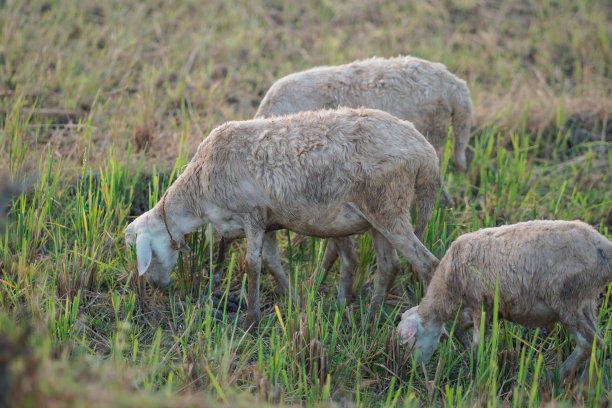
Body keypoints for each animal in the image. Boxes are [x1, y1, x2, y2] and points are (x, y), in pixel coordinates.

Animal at [124, 107, 442, 326]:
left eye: (144, 253)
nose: (157, 287)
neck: (199, 189)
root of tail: (425, 152)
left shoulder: (251, 213)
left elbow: (252, 266)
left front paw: (250, 320)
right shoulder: (267, 222)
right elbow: (272, 263)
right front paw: (295, 301)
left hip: (388, 206)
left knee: (428, 265)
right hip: (378, 216)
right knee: (390, 266)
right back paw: (371, 319)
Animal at [396, 220, 612, 380]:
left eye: (410, 342)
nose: (413, 370)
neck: (447, 285)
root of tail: (604, 247)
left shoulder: (479, 304)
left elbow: (477, 343)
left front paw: (476, 374)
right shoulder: (484, 309)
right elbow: (459, 330)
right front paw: (472, 359)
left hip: (568, 299)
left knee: (588, 342)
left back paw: (555, 377)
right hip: (585, 301)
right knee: (599, 342)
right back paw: (586, 381)